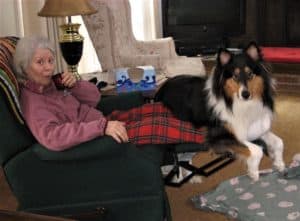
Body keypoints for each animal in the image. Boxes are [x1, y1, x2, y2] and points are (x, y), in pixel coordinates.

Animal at [156, 42, 284, 180]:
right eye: (235, 76)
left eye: (250, 74)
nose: (245, 94)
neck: (237, 103)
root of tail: (162, 87)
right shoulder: (218, 137)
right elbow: (256, 150)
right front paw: (254, 171)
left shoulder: (256, 129)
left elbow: (279, 142)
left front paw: (279, 163)